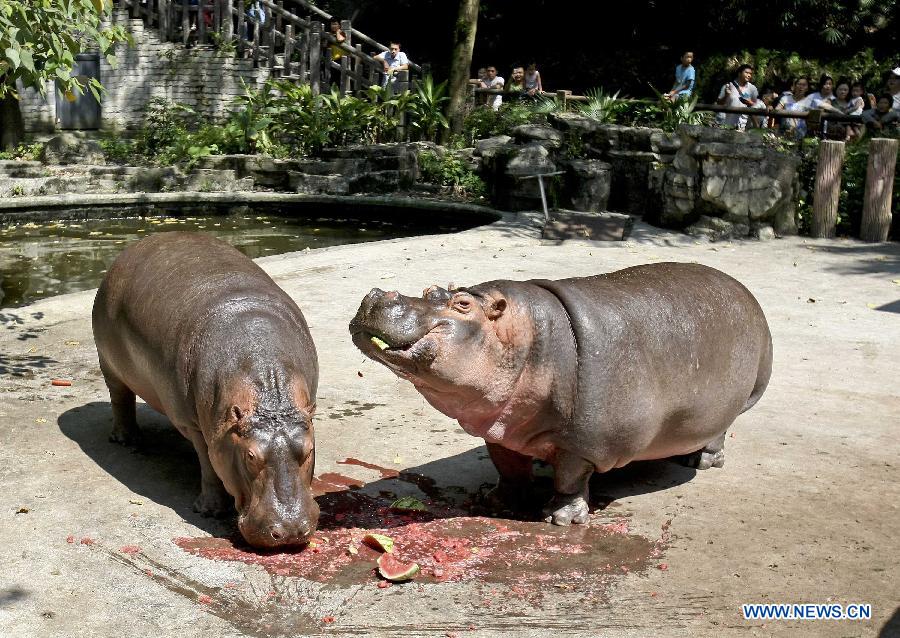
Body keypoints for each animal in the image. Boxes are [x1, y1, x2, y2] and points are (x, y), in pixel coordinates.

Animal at [94, 234, 320, 552]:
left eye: (308, 450)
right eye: (250, 456)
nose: (289, 531)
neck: (270, 398)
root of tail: (136, 245)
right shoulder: (196, 427)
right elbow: (209, 465)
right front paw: (209, 510)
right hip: (109, 364)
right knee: (120, 399)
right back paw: (128, 440)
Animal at [348, 262, 768, 528]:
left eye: (462, 304)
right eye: (430, 290)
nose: (376, 294)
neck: (526, 338)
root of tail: (745, 292)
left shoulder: (582, 442)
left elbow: (569, 477)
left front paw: (559, 518)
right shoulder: (501, 428)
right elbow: (508, 467)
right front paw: (495, 501)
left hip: (732, 404)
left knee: (719, 431)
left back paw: (702, 461)